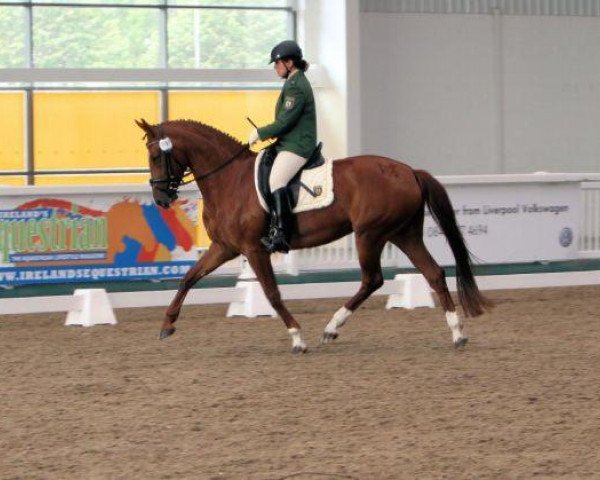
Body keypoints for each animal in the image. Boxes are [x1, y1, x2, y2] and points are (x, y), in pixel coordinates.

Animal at [137, 120, 492, 352]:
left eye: (155, 156)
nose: (161, 199)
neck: (229, 180)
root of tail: (409, 171)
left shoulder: (253, 248)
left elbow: (272, 293)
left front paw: (297, 337)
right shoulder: (225, 247)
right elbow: (188, 278)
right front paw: (167, 325)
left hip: (370, 234)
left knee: (373, 279)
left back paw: (331, 329)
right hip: (404, 233)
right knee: (432, 273)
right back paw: (457, 333)